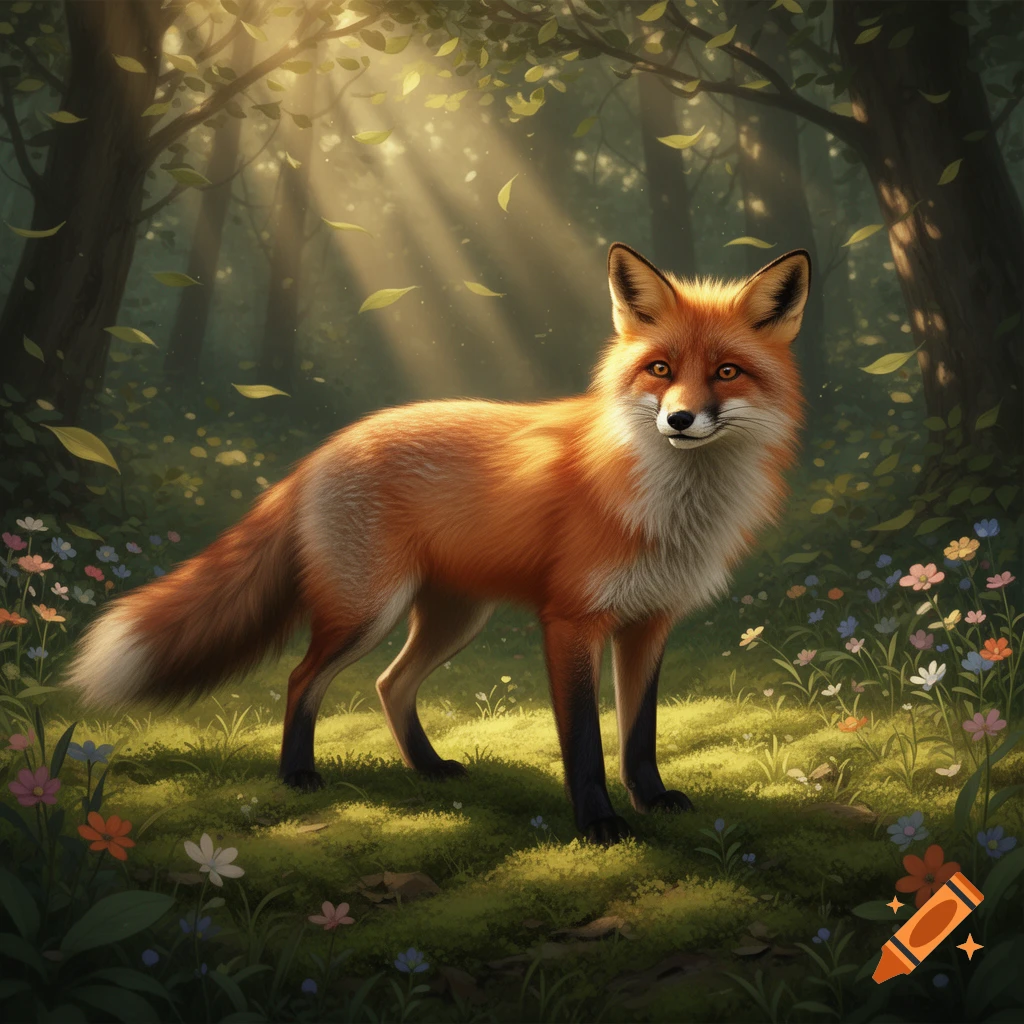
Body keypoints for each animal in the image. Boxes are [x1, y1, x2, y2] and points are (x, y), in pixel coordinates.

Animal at [65, 243, 809, 843]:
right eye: (659, 369)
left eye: (727, 373)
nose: (679, 419)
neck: (669, 507)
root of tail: (326, 449)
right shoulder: (571, 622)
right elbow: (585, 742)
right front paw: (598, 824)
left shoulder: (649, 624)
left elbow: (640, 734)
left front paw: (651, 801)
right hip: (367, 612)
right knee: (302, 678)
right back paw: (297, 775)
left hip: (453, 617)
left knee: (389, 683)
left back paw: (427, 768)